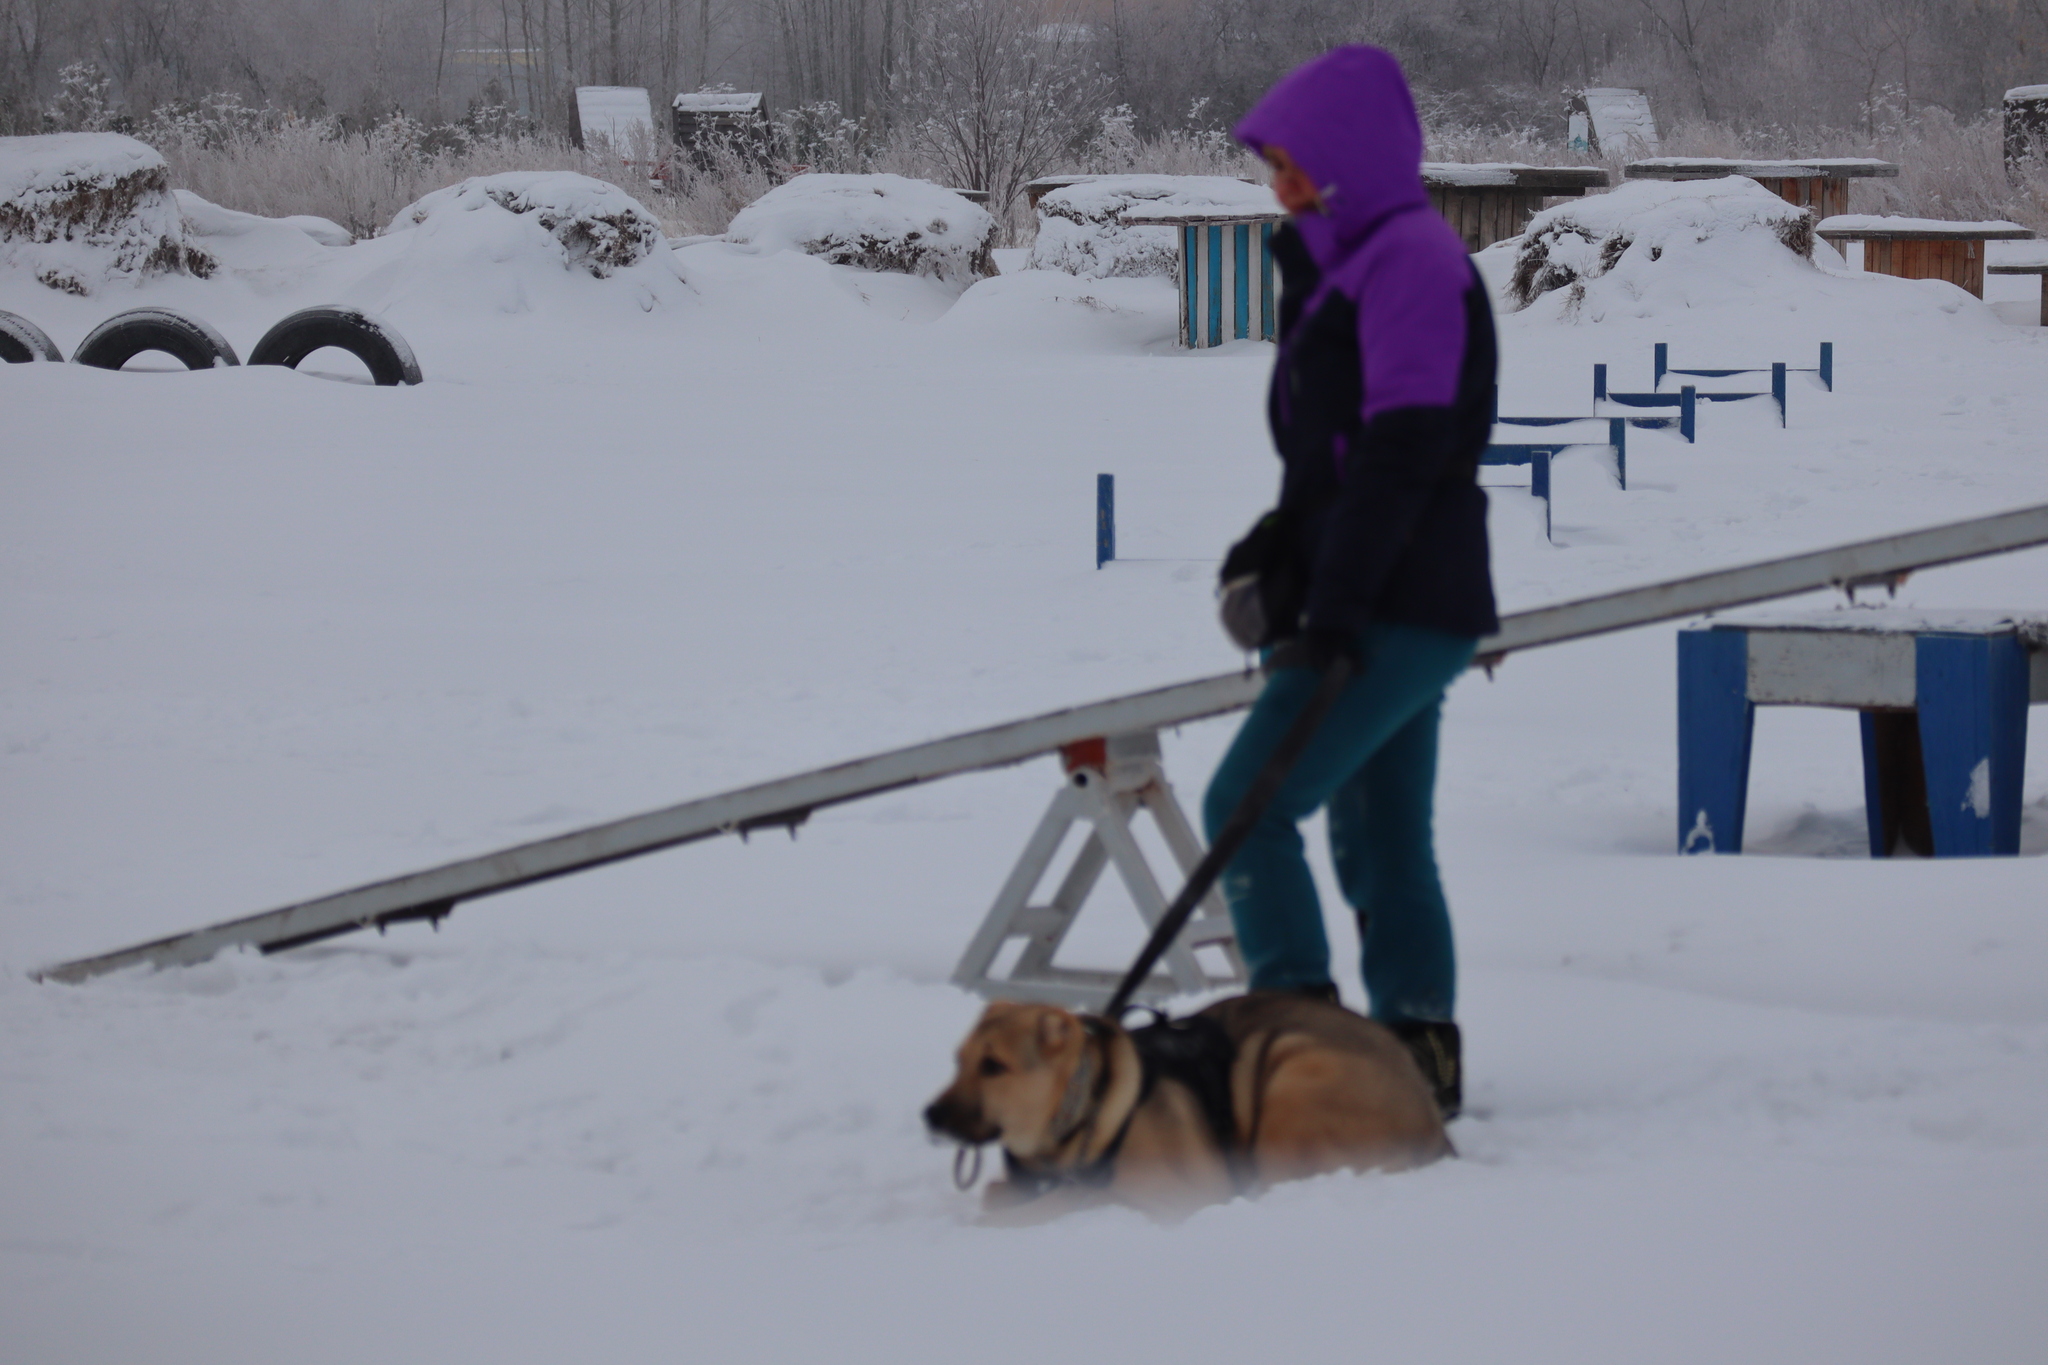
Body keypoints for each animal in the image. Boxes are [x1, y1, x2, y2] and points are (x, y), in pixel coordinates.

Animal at [921, 986, 1449, 1219]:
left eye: (994, 1066)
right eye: (958, 1060)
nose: (929, 1116)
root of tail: (1435, 1126)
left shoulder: (1187, 1188)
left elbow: (1076, 1196)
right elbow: (1001, 1196)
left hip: (1295, 1077)